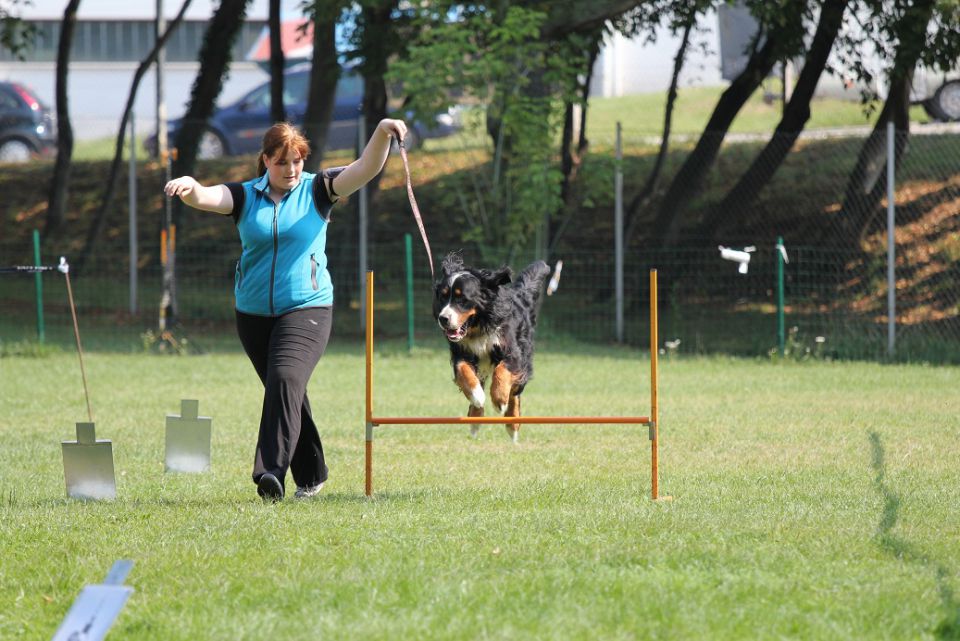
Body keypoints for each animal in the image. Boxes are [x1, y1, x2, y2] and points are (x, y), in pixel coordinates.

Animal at [434, 252, 552, 442]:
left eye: (462, 299)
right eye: (443, 297)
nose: (443, 318)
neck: (478, 327)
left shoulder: (512, 353)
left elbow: (501, 371)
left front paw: (499, 399)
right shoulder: (461, 353)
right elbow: (464, 372)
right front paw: (476, 395)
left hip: (525, 357)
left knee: (515, 393)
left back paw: (512, 423)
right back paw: (475, 417)